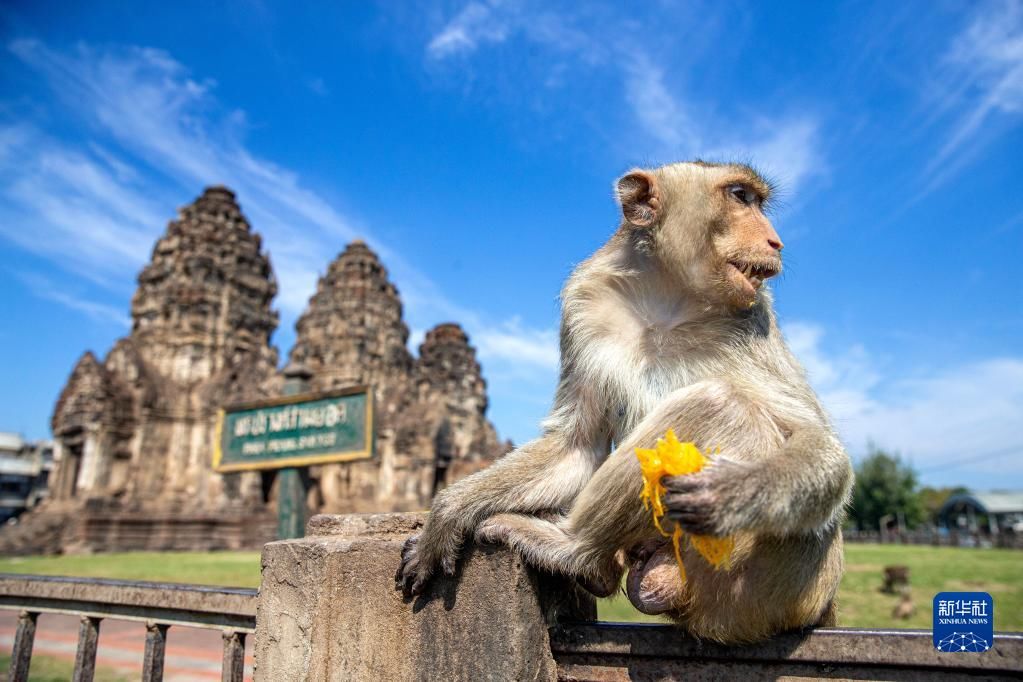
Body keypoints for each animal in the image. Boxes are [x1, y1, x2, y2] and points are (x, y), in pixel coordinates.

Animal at [394, 160, 851, 646]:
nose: (775, 241)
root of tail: (822, 603)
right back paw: (589, 563)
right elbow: (576, 445)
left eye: (753, 200)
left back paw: (574, 550)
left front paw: (733, 491)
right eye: (740, 197)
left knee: (719, 404)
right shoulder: (584, 302)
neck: (669, 298)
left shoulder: (756, 318)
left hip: (769, 579)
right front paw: (447, 513)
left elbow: (821, 444)